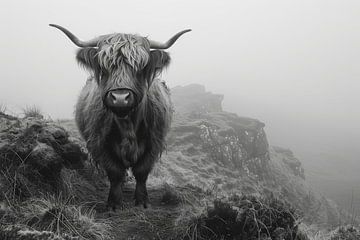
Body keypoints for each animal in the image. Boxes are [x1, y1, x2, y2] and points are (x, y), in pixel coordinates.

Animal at [51, 23, 191, 209]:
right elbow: (115, 172)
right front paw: (114, 202)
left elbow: (141, 171)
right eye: (104, 66)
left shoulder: (154, 142)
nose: (120, 98)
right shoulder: (100, 143)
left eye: (141, 67)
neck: (127, 123)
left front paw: (142, 201)